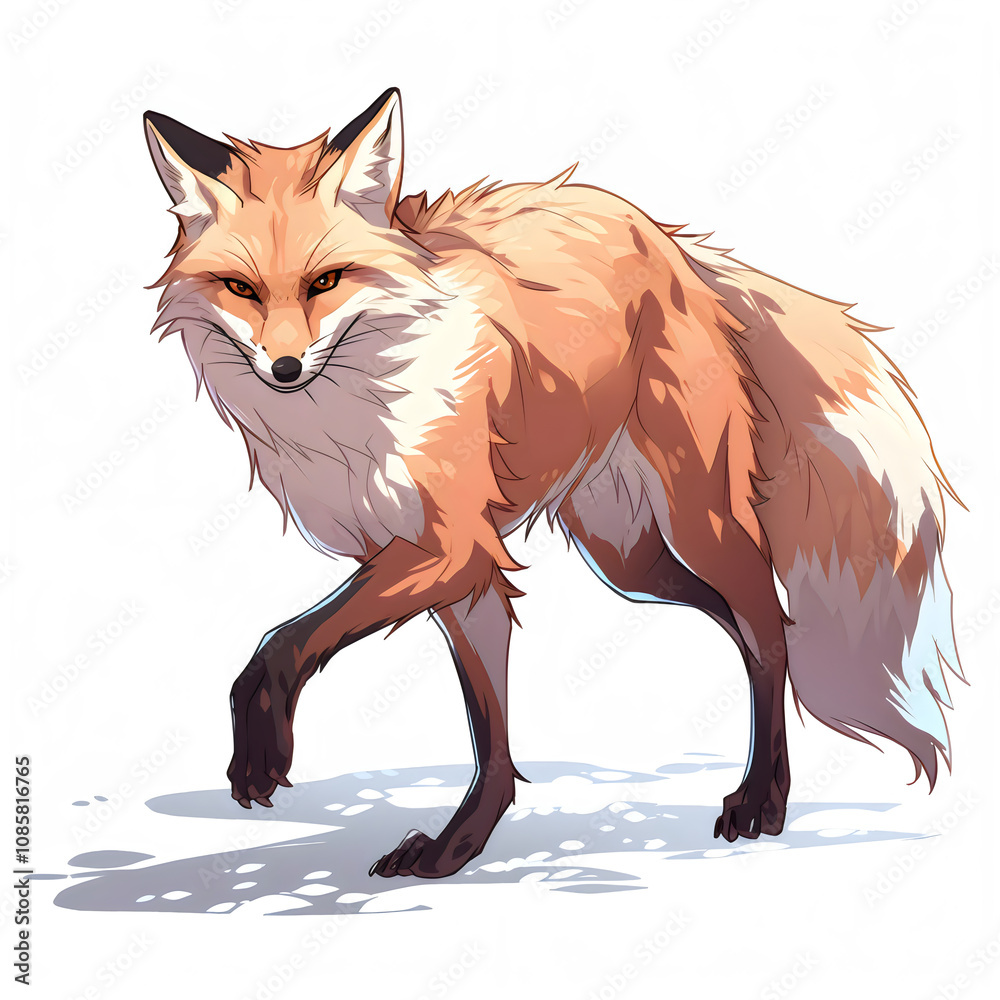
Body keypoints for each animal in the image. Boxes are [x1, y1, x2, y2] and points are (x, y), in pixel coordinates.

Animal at [144, 88, 963, 879]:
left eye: (325, 281)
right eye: (239, 287)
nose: (283, 369)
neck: (357, 407)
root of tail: (673, 245)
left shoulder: (451, 545)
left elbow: (284, 639)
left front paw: (261, 747)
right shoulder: (458, 569)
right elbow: (490, 731)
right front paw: (459, 847)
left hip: (698, 522)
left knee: (766, 624)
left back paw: (765, 798)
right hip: (627, 558)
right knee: (749, 623)